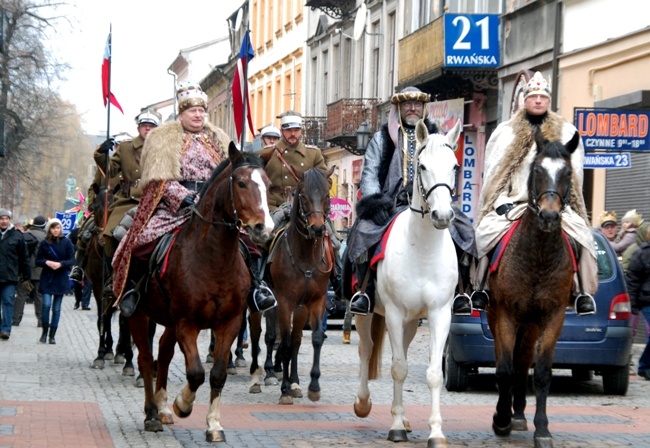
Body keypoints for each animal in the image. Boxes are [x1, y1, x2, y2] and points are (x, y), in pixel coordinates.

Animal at [84, 183, 135, 374]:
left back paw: (121, 351)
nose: (102, 239)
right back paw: (111, 350)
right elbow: (102, 319)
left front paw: (127, 359)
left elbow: (124, 321)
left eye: (113, 204)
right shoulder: (98, 287)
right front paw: (101, 354)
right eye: (94, 207)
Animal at [128, 144, 272, 440]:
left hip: (169, 321)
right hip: (140, 314)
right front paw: (183, 404)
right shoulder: (187, 322)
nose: (264, 228)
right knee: (146, 359)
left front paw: (214, 424)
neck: (213, 259)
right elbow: (195, 373)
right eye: (241, 183)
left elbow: (217, 374)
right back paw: (152, 414)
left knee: (164, 351)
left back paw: (162, 407)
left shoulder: (229, 323)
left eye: (268, 185)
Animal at [246, 166, 332, 404]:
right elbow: (284, 342)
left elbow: (306, 339)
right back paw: (257, 377)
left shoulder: (313, 302)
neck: (306, 256)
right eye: (304, 196)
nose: (317, 228)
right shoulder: (285, 302)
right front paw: (285, 388)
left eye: (327, 196)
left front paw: (307, 385)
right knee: (257, 333)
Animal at [350, 117, 460, 446]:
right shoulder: (395, 313)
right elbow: (398, 368)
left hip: (413, 320)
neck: (422, 249)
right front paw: (396, 426)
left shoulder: (439, 314)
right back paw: (363, 403)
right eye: (421, 166)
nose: (442, 215)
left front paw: (435, 432)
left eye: (455, 165)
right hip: (368, 313)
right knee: (366, 348)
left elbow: (433, 372)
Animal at [484, 128, 580, 446]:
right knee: (508, 361)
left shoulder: (552, 317)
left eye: (567, 172)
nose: (549, 216)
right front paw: (500, 420)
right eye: (537, 170)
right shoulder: (506, 314)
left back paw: (519, 414)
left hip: (531, 324)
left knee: (523, 360)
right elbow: (503, 369)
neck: (537, 257)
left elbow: (541, 372)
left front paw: (542, 428)